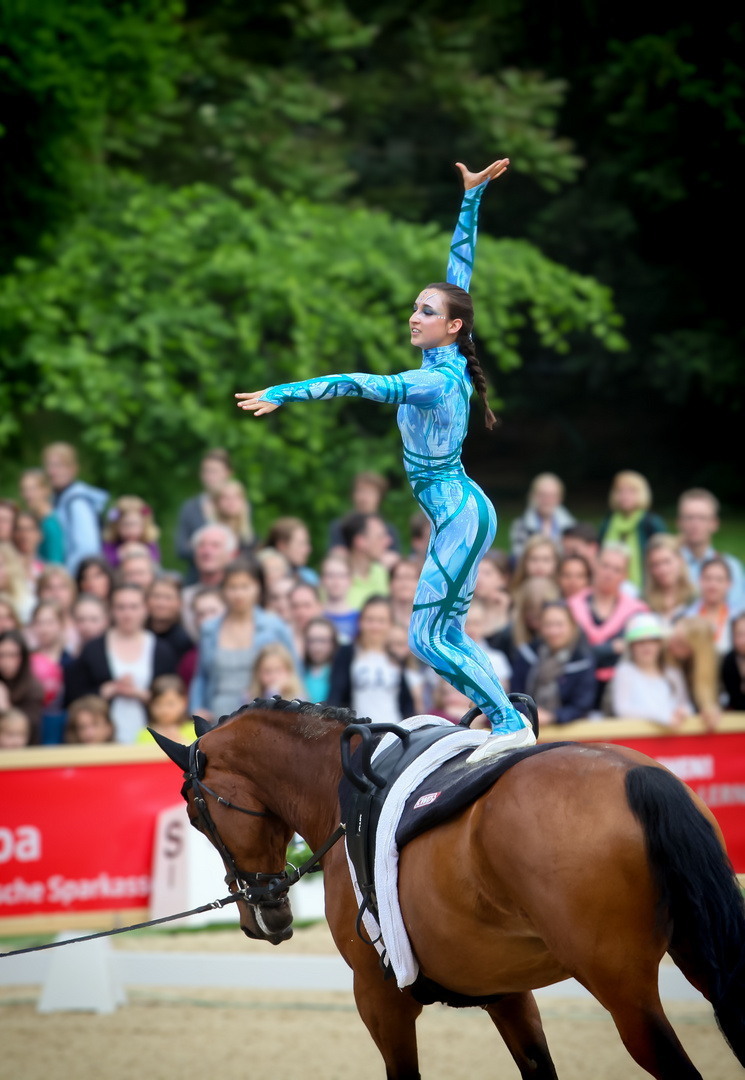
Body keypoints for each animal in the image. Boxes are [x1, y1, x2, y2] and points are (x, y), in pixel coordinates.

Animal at [152, 699, 742, 1080]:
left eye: (195, 813)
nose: (261, 918)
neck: (339, 795)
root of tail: (639, 777)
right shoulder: (506, 991)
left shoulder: (380, 1000)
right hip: (695, 954)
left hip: (623, 992)